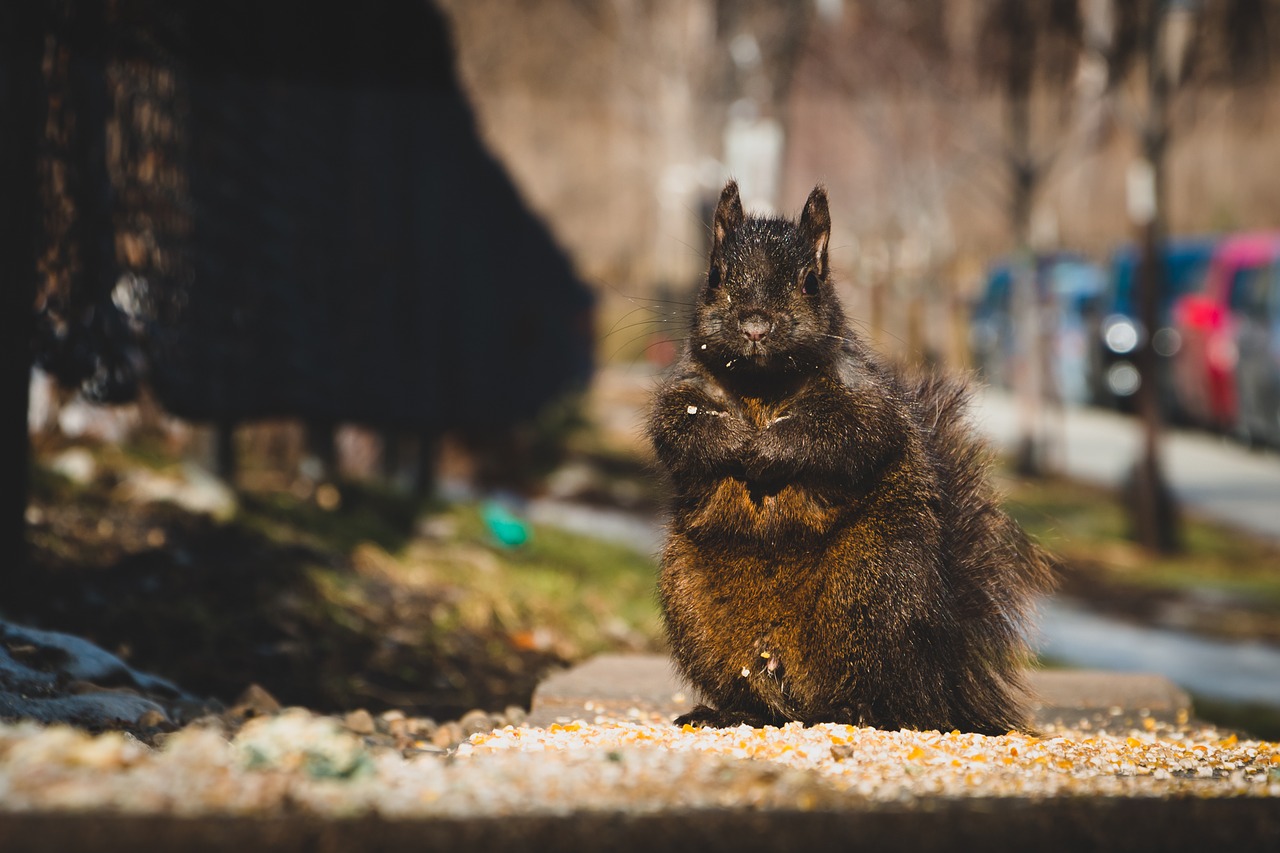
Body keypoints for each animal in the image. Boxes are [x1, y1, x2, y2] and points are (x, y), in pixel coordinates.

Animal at [650, 179, 1059, 732]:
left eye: (810, 282)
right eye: (715, 275)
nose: (755, 326)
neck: (762, 386)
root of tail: (941, 686)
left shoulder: (866, 400)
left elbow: (846, 436)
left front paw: (769, 448)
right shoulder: (684, 389)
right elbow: (676, 429)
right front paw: (733, 441)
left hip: (874, 587)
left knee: (885, 696)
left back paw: (854, 709)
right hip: (694, 605)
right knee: (761, 695)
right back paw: (728, 711)